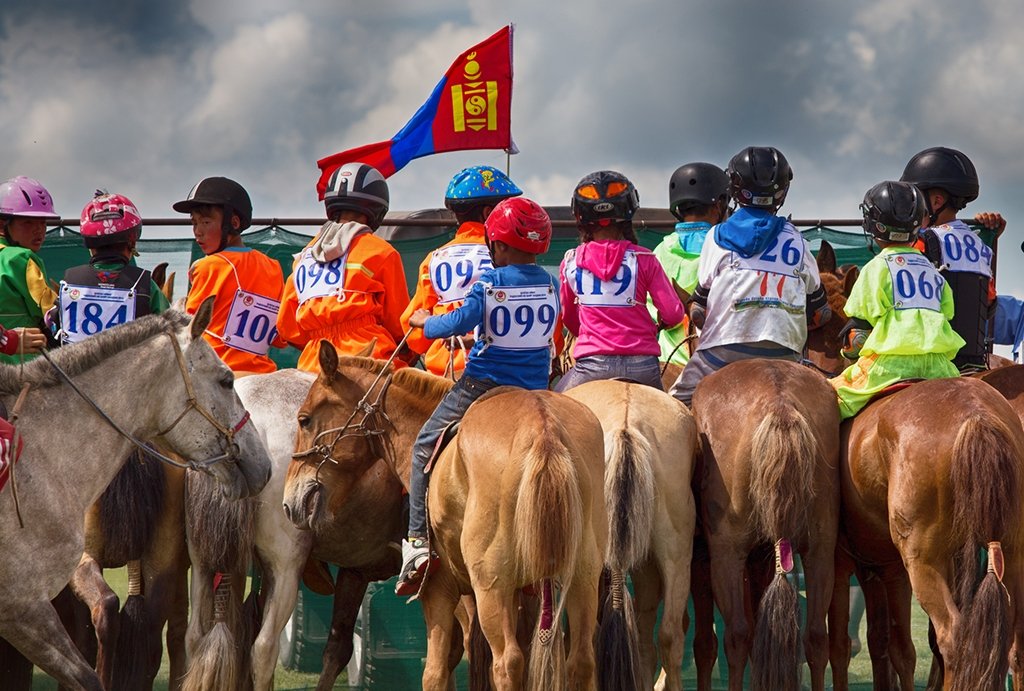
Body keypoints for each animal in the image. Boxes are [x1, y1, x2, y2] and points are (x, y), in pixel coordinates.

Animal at [282, 343, 608, 690]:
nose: (290, 502)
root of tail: (544, 427)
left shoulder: (439, 587)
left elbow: (436, 669)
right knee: (581, 659)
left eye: (304, 419)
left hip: (492, 585)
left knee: (507, 662)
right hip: (582, 576)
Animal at [691, 358, 840, 691]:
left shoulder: (703, 562)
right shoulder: (760, 560)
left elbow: (706, 644)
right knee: (815, 636)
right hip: (821, 550)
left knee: (736, 635)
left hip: (727, 554)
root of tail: (779, 401)